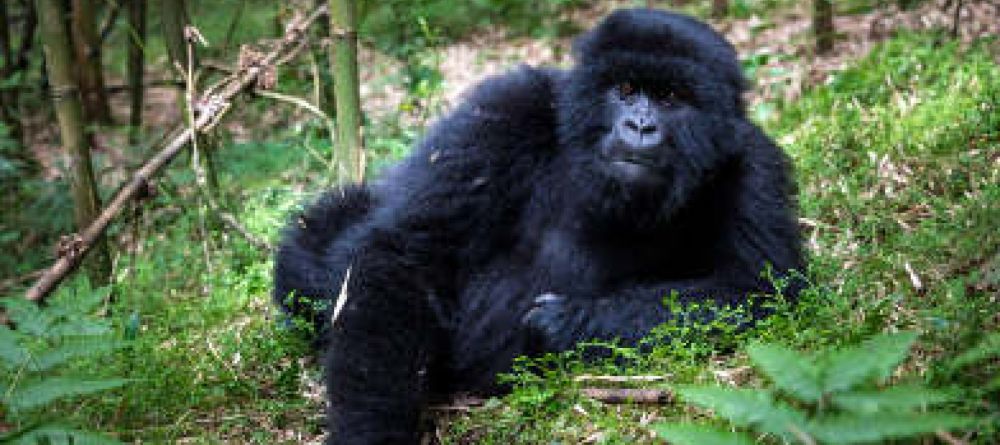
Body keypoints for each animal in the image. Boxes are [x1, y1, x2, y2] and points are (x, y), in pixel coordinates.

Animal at [274, 6, 804, 444]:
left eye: (672, 97)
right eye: (625, 90)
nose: (639, 127)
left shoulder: (752, 163)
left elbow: (758, 290)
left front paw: (568, 323)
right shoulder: (505, 109)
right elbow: (406, 257)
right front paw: (370, 431)